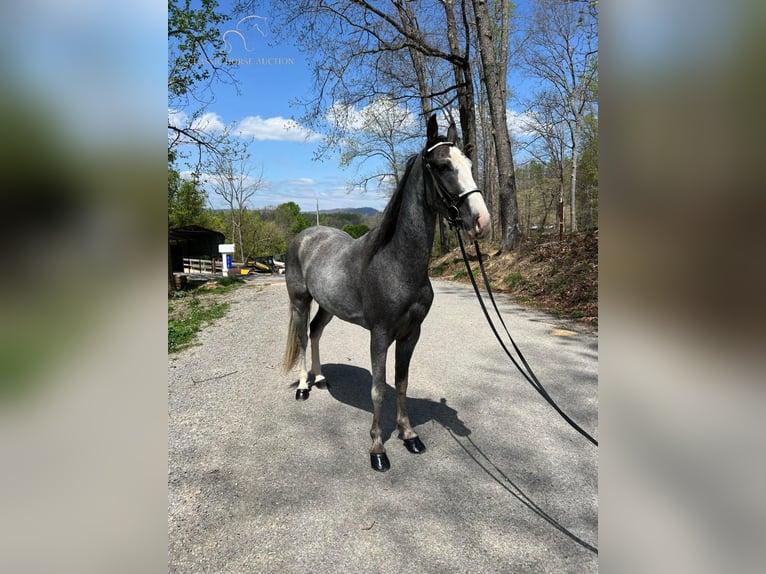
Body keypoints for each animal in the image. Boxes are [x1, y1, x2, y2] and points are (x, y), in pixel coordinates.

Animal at [284, 116, 492, 472]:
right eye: (442, 166)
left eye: (468, 164)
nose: (481, 221)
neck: (395, 261)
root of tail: (306, 236)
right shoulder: (380, 335)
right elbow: (379, 389)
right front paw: (378, 449)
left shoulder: (411, 333)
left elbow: (402, 383)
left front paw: (409, 435)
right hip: (300, 301)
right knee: (301, 337)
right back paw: (302, 386)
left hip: (327, 306)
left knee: (314, 332)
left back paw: (321, 378)